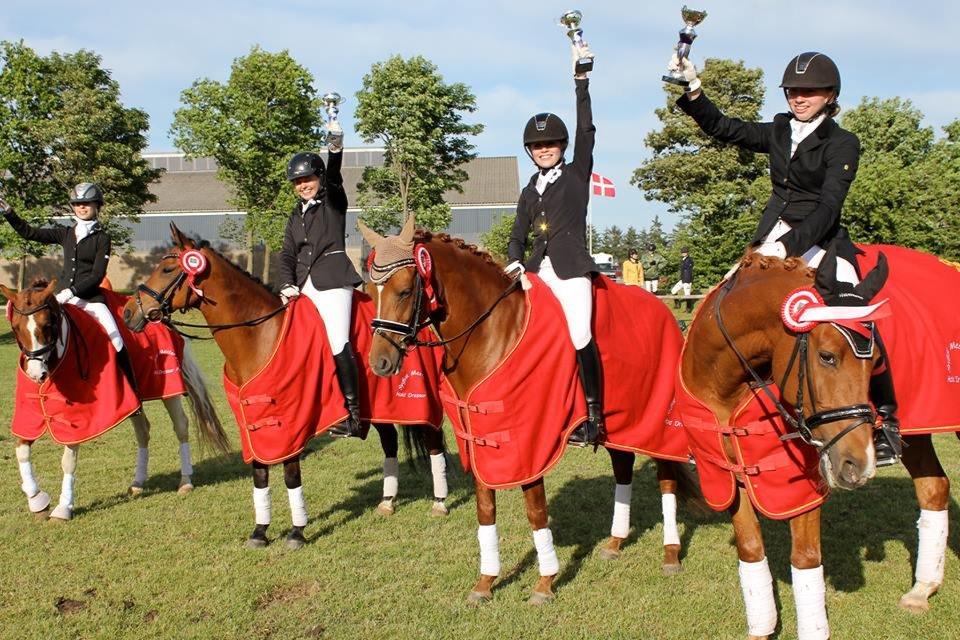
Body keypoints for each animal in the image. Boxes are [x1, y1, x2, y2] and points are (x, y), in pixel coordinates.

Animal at [2, 278, 229, 521]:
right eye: (15, 327)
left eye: (47, 325)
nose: (37, 374)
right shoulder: (30, 416)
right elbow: (21, 451)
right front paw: (37, 500)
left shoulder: (79, 422)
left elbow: (68, 462)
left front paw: (63, 508)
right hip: (133, 402)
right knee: (143, 431)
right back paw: (138, 482)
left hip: (170, 389)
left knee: (181, 426)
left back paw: (185, 481)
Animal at [122, 224, 447, 548]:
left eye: (167, 269)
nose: (128, 312)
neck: (260, 335)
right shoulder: (253, 426)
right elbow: (259, 475)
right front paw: (259, 531)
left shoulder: (291, 423)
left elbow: (291, 476)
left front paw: (297, 532)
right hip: (378, 410)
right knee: (390, 443)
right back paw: (387, 502)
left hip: (419, 403)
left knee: (433, 442)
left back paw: (440, 502)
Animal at [360, 216, 699, 605]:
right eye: (369, 291)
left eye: (404, 291)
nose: (379, 363)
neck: (492, 332)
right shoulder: (480, 442)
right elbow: (485, 509)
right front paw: (485, 582)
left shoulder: (530, 442)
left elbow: (536, 511)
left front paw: (545, 582)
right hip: (620, 425)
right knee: (624, 467)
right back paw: (615, 542)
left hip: (657, 425)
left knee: (666, 479)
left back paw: (671, 554)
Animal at [679, 251, 890, 639]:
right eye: (826, 356)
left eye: (878, 362)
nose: (860, 465)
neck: (725, 382)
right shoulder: (732, 477)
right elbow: (750, 549)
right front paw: (761, 628)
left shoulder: (802, 486)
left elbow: (806, 560)